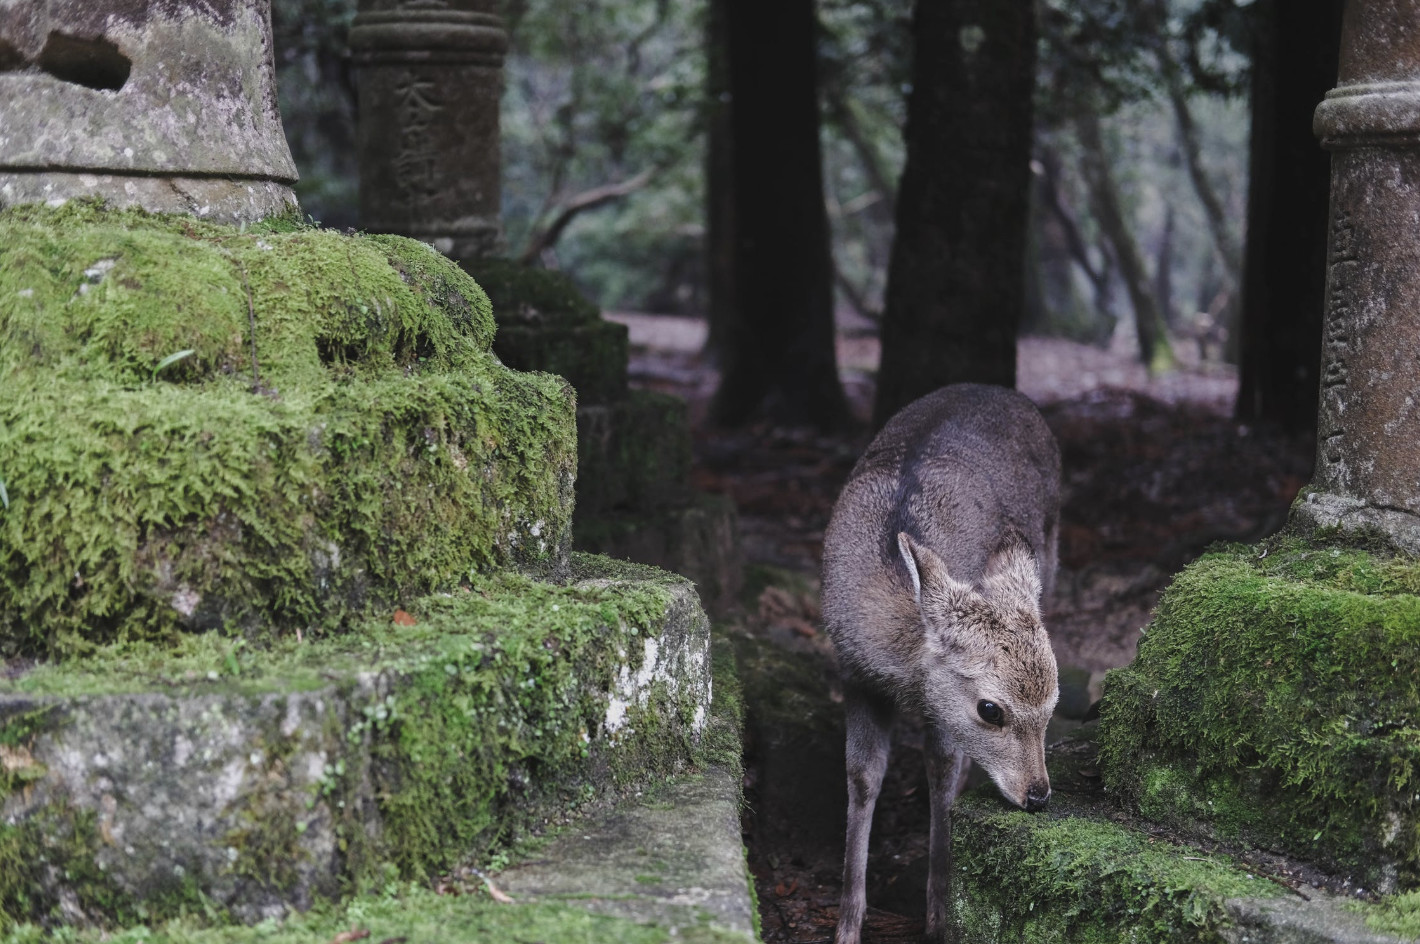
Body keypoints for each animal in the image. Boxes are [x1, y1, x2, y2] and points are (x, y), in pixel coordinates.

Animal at [817, 383, 1062, 942]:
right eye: (991, 709)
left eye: (1054, 703)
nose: (1038, 795)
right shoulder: (854, 676)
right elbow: (863, 776)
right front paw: (847, 924)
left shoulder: (940, 713)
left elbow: (942, 775)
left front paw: (940, 914)